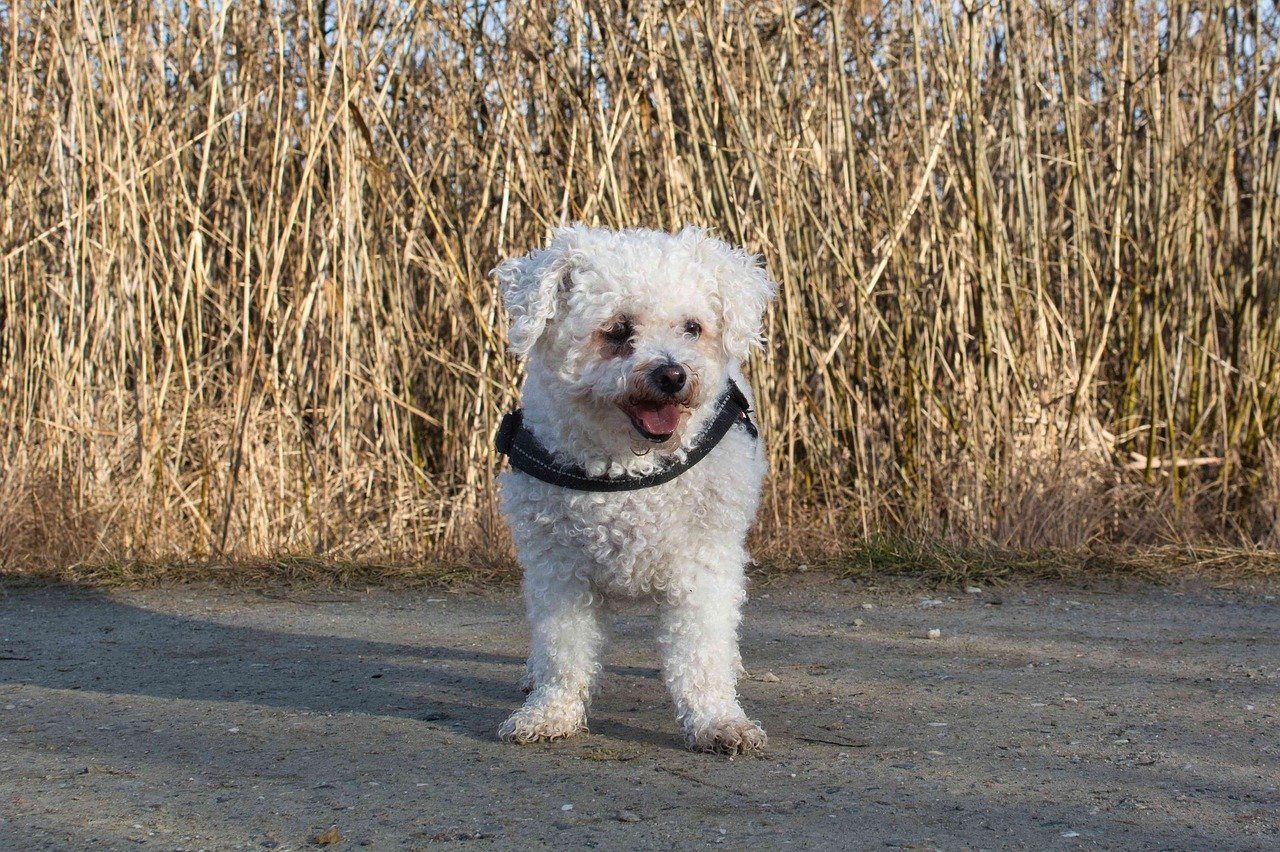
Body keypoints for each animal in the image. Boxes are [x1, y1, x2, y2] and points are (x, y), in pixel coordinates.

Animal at [488, 223, 768, 752]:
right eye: (618, 330)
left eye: (692, 328)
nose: (673, 374)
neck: (630, 469)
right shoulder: (558, 569)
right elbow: (563, 651)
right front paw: (550, 713)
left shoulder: (703, 565)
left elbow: (701, 653)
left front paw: (718, 720)